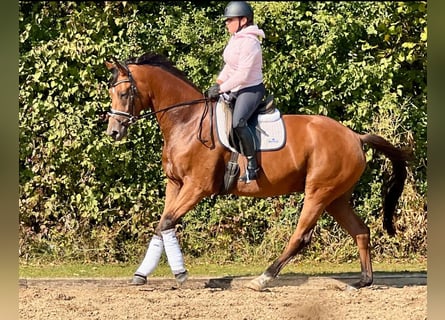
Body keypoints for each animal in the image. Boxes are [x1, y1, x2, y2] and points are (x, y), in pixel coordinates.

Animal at [103, 52, 410, 290]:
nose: (114, 132)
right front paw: (141, 274)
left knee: (301, 236)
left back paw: (263, 278)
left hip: (319, 192)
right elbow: (161, 225)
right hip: (336, 197)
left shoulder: (196, 187)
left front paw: (180, 273)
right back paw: (363, 281)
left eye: (125, 93)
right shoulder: (175, 184)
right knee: (360, 231)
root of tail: (354, 136)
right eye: (111, 93)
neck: (187, 121)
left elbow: (167, 222)